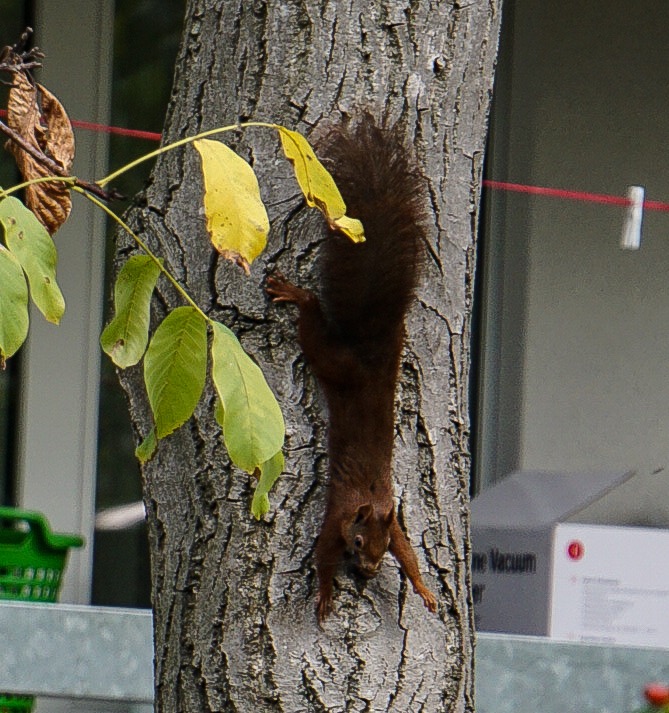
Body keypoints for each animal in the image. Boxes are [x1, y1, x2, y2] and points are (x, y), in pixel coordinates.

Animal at [266, 114, 438, 620]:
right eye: (359, 542)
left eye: (380, 548)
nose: (367, 570)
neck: (369, 504)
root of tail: (370, 355)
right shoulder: (337, 517)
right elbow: (323, 556)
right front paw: (325, 593)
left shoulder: (393, 523)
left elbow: (410, 553)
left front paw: (422, 588)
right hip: (332, 361)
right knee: (312, 324)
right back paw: (295, 294)